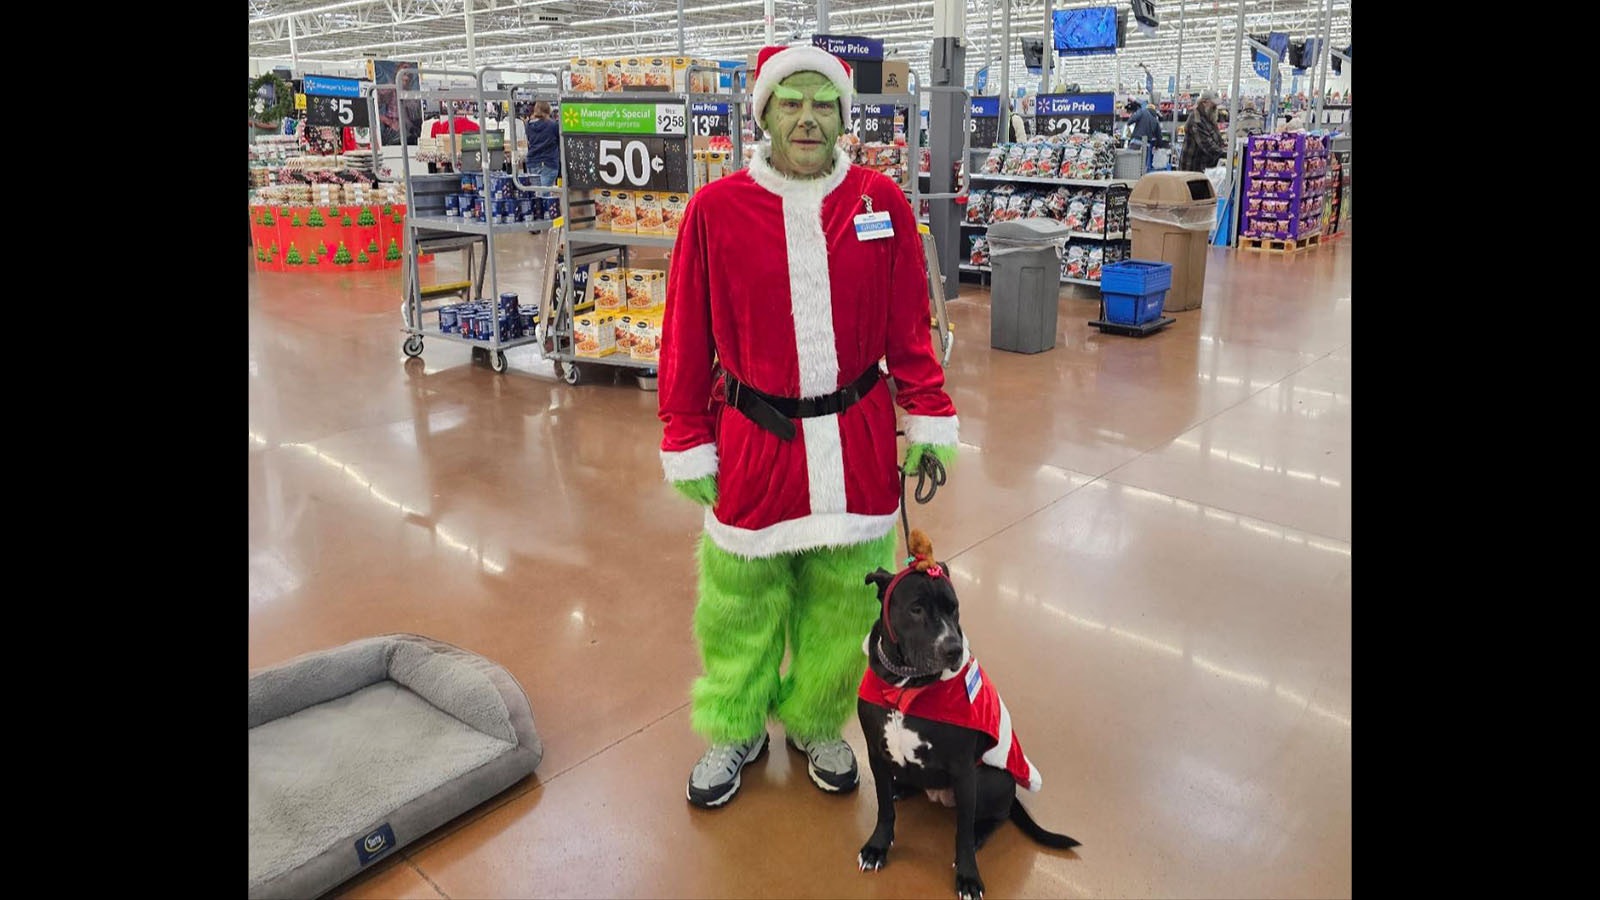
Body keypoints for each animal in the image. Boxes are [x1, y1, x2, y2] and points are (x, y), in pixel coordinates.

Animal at [857, 528, 1081, 890]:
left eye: (954, 609)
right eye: (916, 609)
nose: (953, 649)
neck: (906, 686)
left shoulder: (963, 771)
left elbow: (961, 832)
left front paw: (968, 875)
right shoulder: (876, 752)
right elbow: (883, 808)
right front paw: (878, 846)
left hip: (988, 779)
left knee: (995, 815)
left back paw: (980, 833)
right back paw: (902, 788)